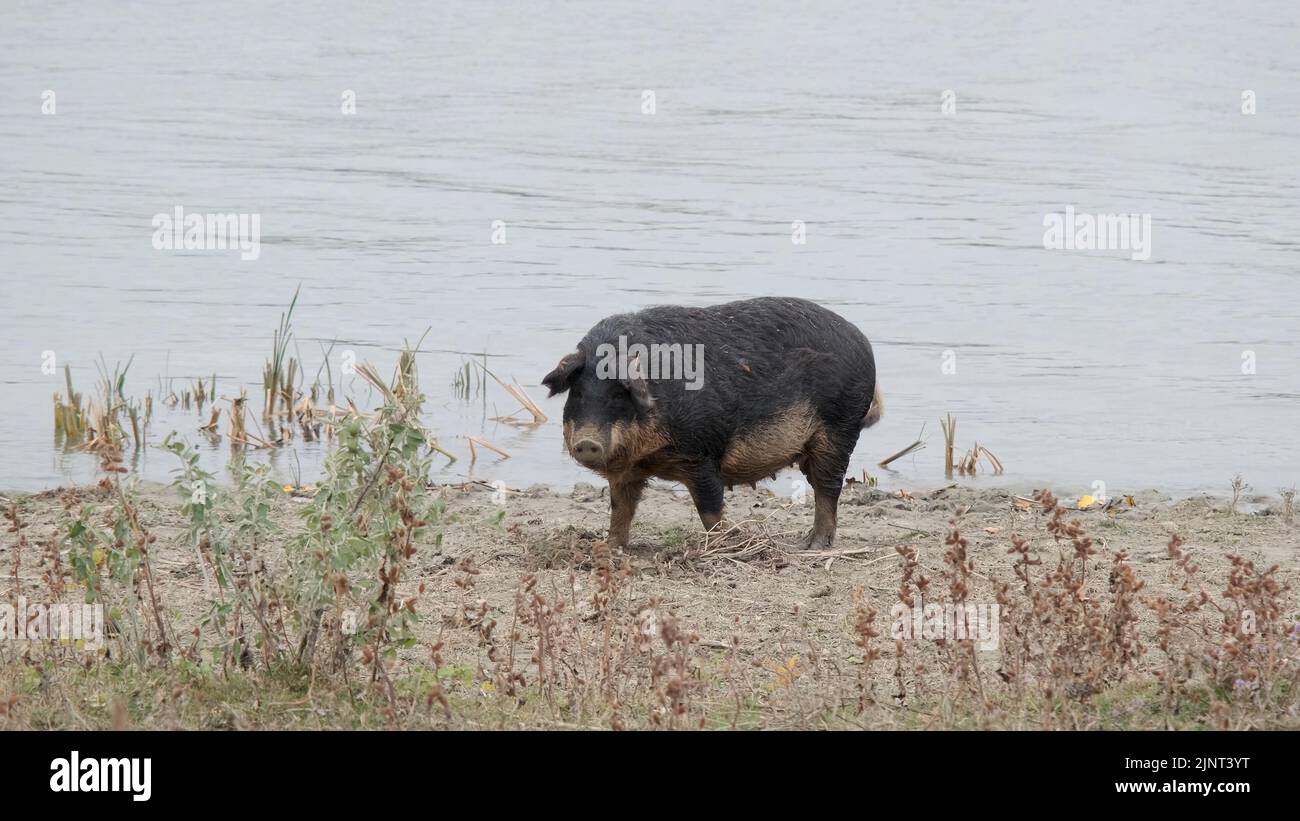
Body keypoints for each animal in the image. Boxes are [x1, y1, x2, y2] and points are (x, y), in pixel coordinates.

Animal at [538, 296, 883, 550]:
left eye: (618, 396)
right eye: (578, 393)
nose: (587, 442)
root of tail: (864, 342)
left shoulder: (702, 453)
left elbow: (710, 508)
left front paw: (723, 545)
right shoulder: (628, 471)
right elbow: (620, 508)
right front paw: (608, 548)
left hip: (839, 431)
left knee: (828, 488)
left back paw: (812, 546)